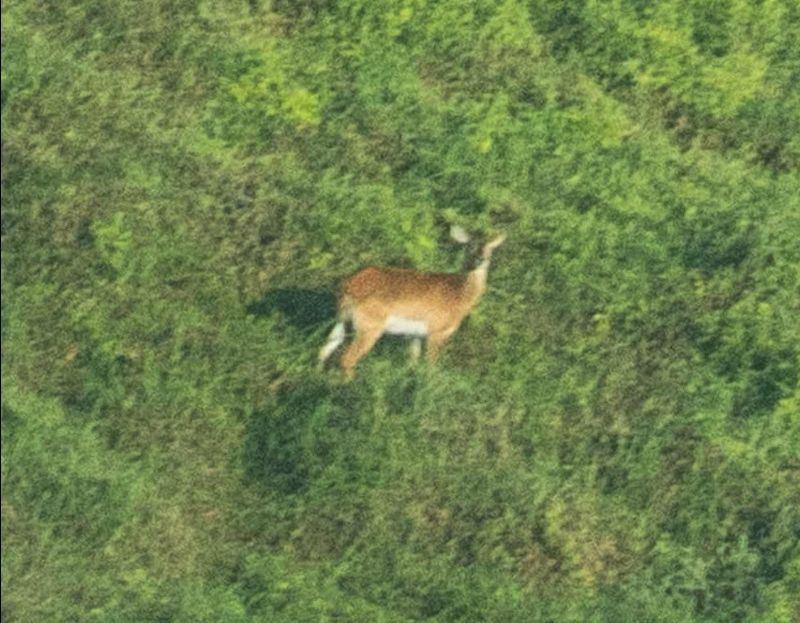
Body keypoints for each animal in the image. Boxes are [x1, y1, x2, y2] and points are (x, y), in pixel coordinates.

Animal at [318, 231, 506, 379]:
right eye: (470, 246)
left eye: (490, 248)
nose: (481, 259)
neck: (458, 295)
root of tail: (347, 285)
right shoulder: (435, 332)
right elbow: (431, 367)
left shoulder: (415, 335)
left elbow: (412, 364)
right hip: (369, 327)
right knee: (347, 359)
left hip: (342, 320)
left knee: (324, 350)